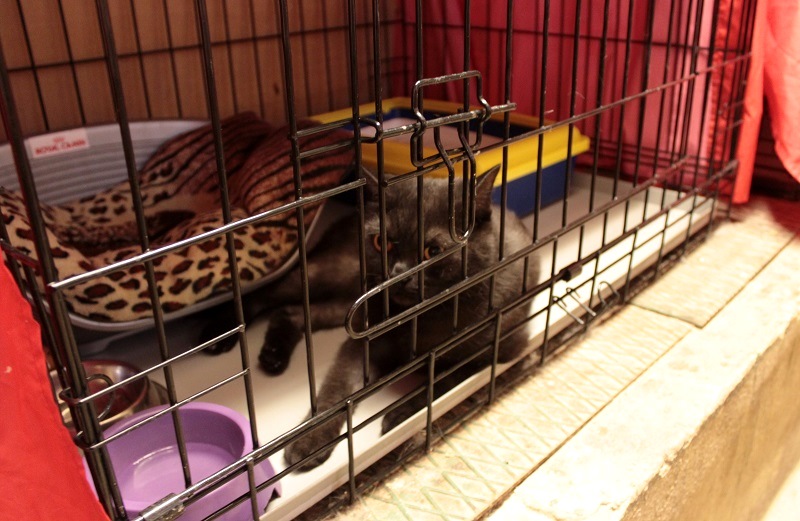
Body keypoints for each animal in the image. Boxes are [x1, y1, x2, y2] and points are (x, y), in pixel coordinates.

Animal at [200, 164, 538, 470]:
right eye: (381, 242)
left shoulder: (504, 344)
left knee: (292, 312)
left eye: (433, 251)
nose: (398, 274)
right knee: (269, 292)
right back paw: (219, 335)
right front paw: (310, 441)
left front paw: (401, 413)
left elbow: (446, 376)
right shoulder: (363, 344)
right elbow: (337, 391)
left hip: (348, 305)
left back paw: (272, 356)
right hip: (332, 277)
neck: (422, 319)